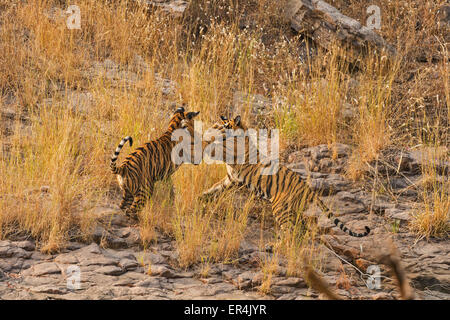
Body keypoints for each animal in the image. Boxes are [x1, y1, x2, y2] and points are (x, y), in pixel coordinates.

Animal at [200, 115, 370, 238]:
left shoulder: (229, 153)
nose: (217, 123)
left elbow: (214, 147)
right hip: (293, 210)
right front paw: (201, 197)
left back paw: (275, 245)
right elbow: (215, 187)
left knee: (289, 230)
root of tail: (308, 189)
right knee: (298, 229)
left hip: (280, 208)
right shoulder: (230, 179)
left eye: (224, 124)